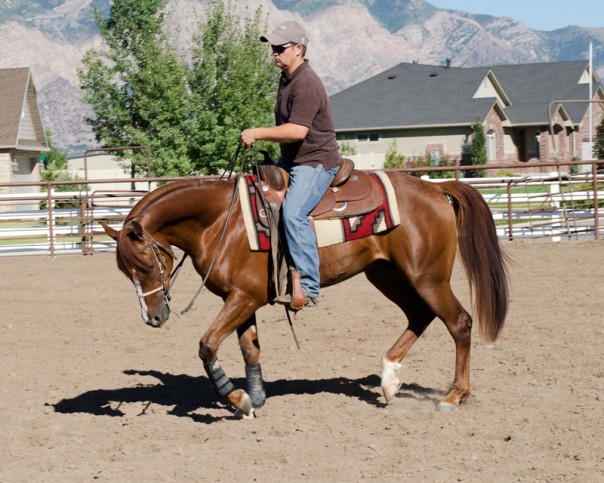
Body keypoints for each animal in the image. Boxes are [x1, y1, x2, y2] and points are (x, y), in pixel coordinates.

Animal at [101, 172, 508, 418]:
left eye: (146, 264)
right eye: (126, 271)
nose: (153, 318)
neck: (219, 221)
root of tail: (436, 188)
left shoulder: (243, 298)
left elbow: (208, 345)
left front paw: (238, 398)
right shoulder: (241, 298)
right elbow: (249, 349)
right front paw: (255, 397)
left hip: (427, 277)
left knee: (459, 322)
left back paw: (453, 396)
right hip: (387, 274)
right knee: (420, 316)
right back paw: (390, 380)